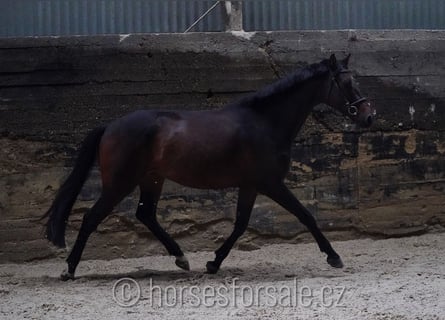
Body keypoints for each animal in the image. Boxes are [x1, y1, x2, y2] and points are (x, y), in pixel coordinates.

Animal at [42, 54, 374, 280]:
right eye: (346, 83)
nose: (368, 116)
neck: (265, 122)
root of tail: (109, 126)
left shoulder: (250, 185)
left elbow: (240, 224)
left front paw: (213, 263)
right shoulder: (271, 184)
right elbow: (306, 216)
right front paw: (334, 257)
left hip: (152, 179)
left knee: (146, 214)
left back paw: (181, 258)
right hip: (119, 183)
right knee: (91, 218)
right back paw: (69, 269)